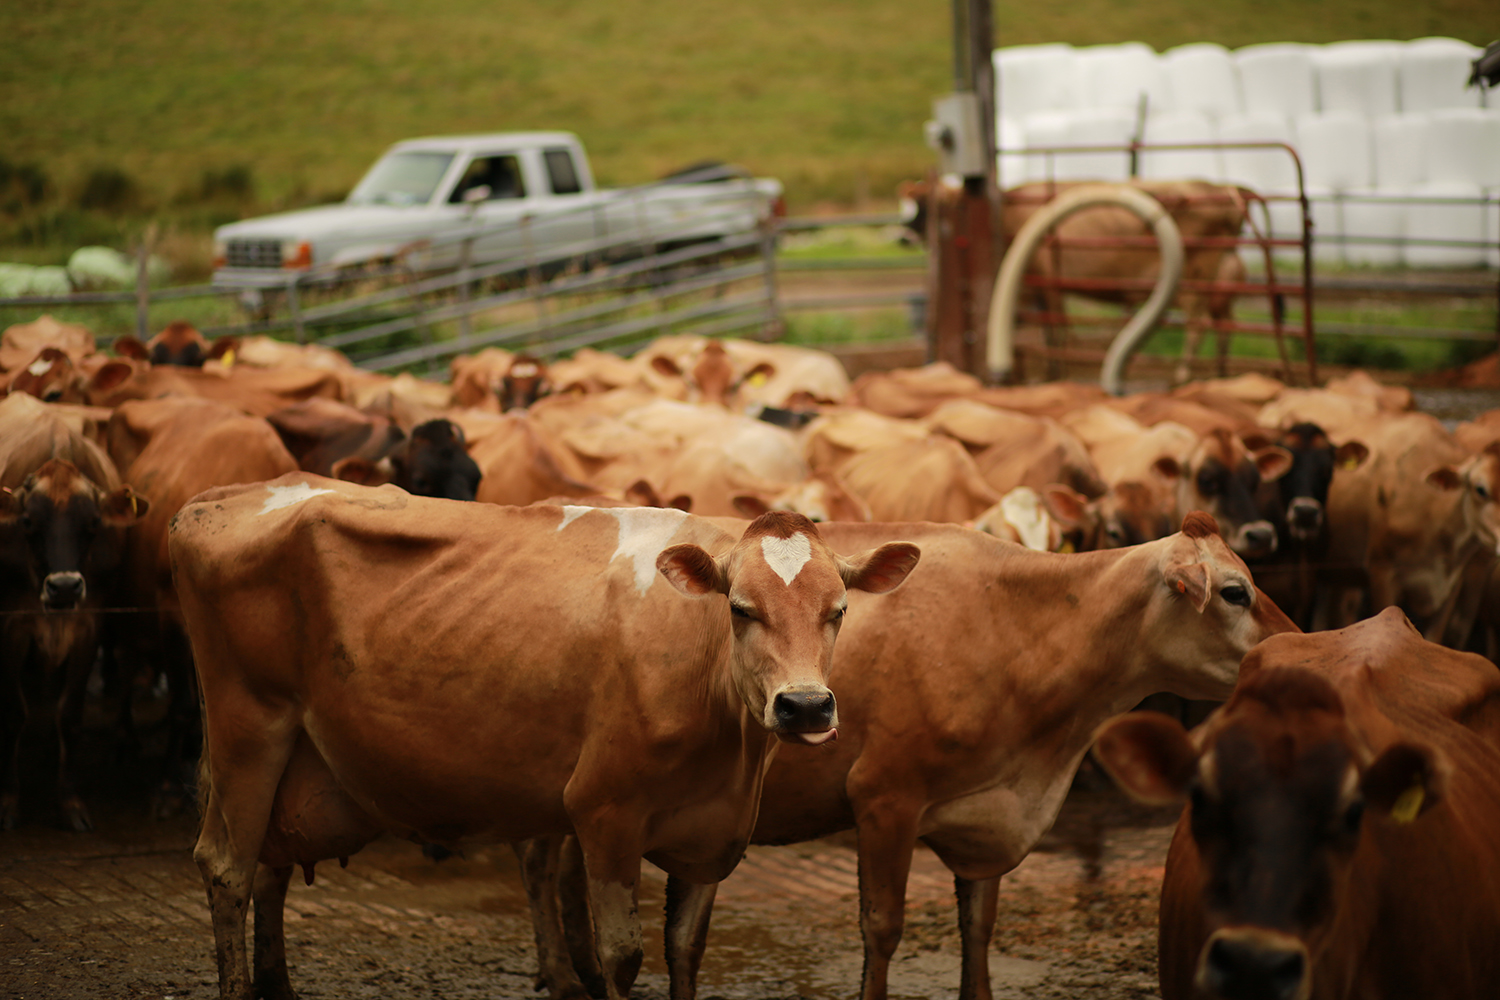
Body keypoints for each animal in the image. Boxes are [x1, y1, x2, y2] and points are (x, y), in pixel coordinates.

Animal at [172, 479, 924, 1000]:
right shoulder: (603, 811)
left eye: (839, 610)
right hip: (249, 727)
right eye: (741, 609)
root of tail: (218, 497)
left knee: (268, 866)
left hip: (293, 757)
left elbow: (686, 947)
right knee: (228, 866)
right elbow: (622, 955)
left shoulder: (712, 832)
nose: (805, 706)